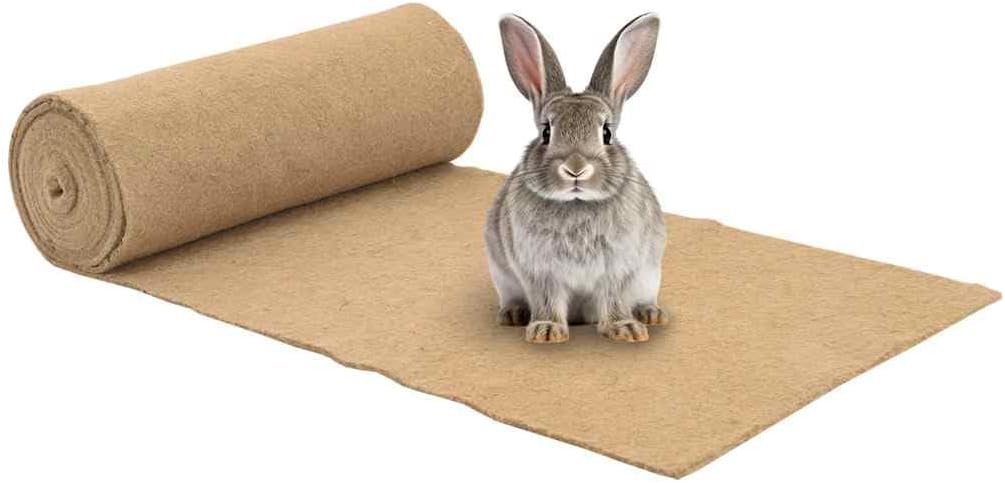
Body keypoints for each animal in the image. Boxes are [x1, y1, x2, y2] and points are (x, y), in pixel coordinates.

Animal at [485, 13, 668, 344]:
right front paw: (546, 331)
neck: (577, 203)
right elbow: (547, 300)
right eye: (546, 132)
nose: (575, 168)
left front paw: (626, 329)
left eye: (607, 133)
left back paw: (651, 314)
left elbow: (615, 298)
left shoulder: (620, 268)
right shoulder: (539, 271)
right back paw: (514, 315)